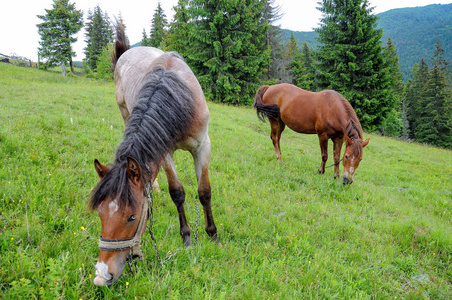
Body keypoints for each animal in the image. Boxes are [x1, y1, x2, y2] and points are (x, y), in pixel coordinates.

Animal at [88, 24, 219, 286]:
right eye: (100, 214)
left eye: (132, 217)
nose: (102, 276)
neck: (176, 98)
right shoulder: (164, 151)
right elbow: (177, 192)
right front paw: (186, 237)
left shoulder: (203, 146)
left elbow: (204, 191)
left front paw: (213, 235)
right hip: (125, 113)